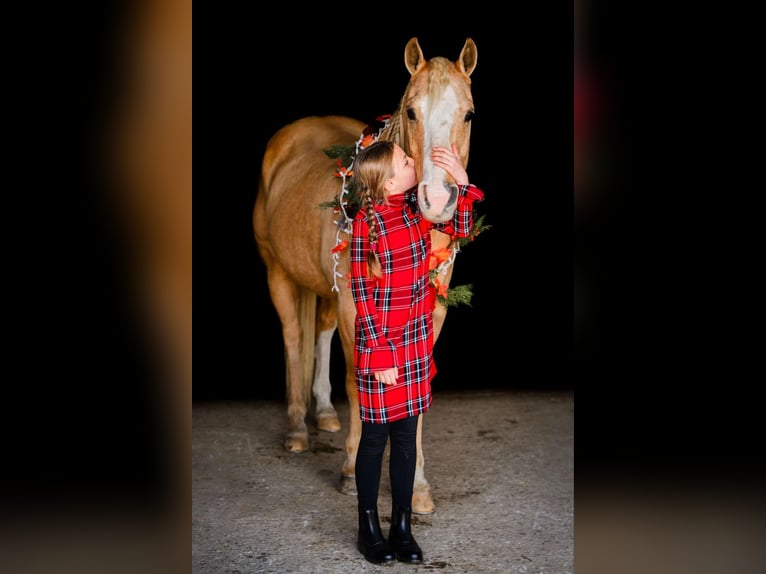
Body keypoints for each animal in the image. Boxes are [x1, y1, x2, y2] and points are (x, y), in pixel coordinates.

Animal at [255, 37, 476, 516]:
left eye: (468, 114)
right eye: (410, 111)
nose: (437, 200)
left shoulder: (432, 312)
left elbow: (416, 387)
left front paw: (417, 485)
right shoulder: (354, 311)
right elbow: (359, 386)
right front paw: (353, 472)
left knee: (317, 332)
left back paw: (323, 413)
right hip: (278, 271)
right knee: (294, 338)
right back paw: (298, 429)